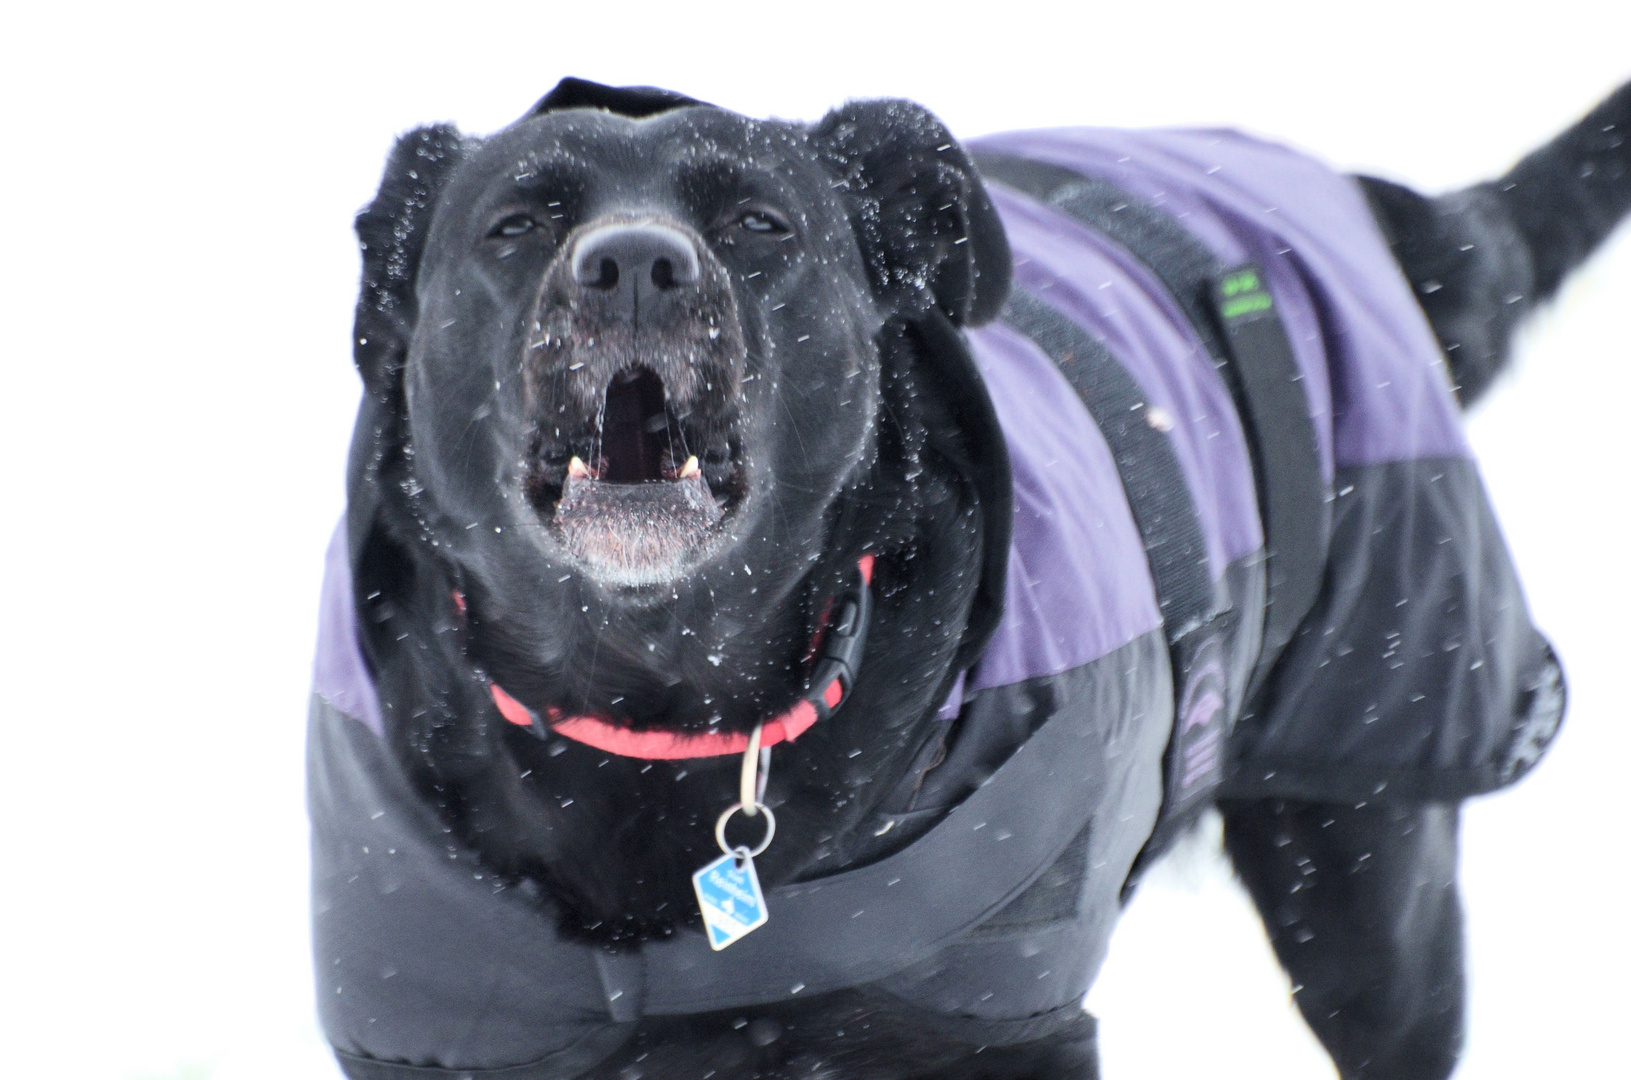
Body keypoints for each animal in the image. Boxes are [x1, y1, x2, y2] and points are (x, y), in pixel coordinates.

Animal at [314, 78, 1631, 1080]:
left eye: (759, 223)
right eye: (513, 224)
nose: (634, 264)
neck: (657, 705)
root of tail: (1365, 206)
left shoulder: (988, 1028)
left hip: (1370, 866)